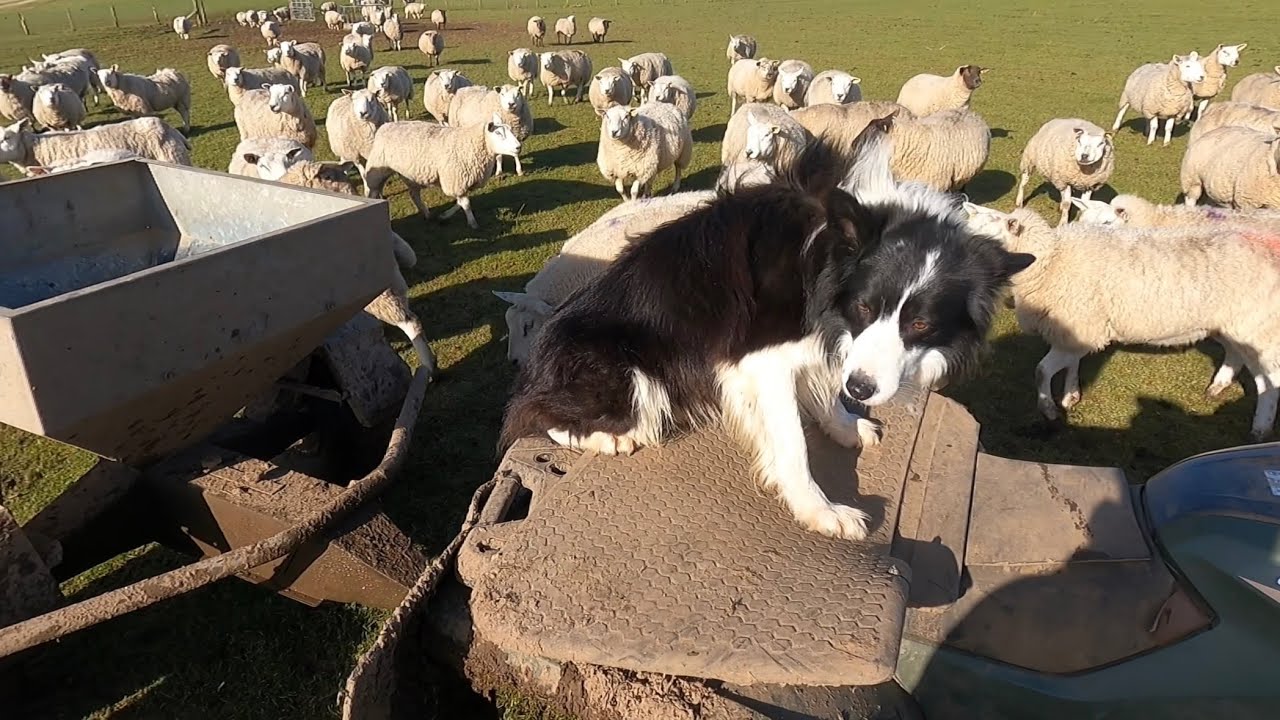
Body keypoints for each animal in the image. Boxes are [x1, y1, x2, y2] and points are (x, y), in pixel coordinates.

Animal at [364, 114, 523, 229]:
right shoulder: (456, 180)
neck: (469, 143)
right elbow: (466, 203)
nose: (518, 147)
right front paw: (473, 223)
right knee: (373, 192)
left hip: (411, 174)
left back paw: (427, 214)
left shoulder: (462, 183)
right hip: (378, 170)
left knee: (414, 195)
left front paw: (444, 216)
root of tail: (386, 125)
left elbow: (461, 202)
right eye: (498, 133)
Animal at [963, 202, 1280, 440]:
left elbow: (1042, 371)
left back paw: (1260, 429)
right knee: (1238, 357)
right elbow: (1072, 364)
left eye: (989, 239)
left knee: (1270, 381)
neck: (1052, 260)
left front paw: (1049, 409)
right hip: (1237, 325)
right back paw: (1219, 387)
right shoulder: (1078, 327)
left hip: (1260, 329)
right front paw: (1071, 395)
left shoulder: (1081, 322)